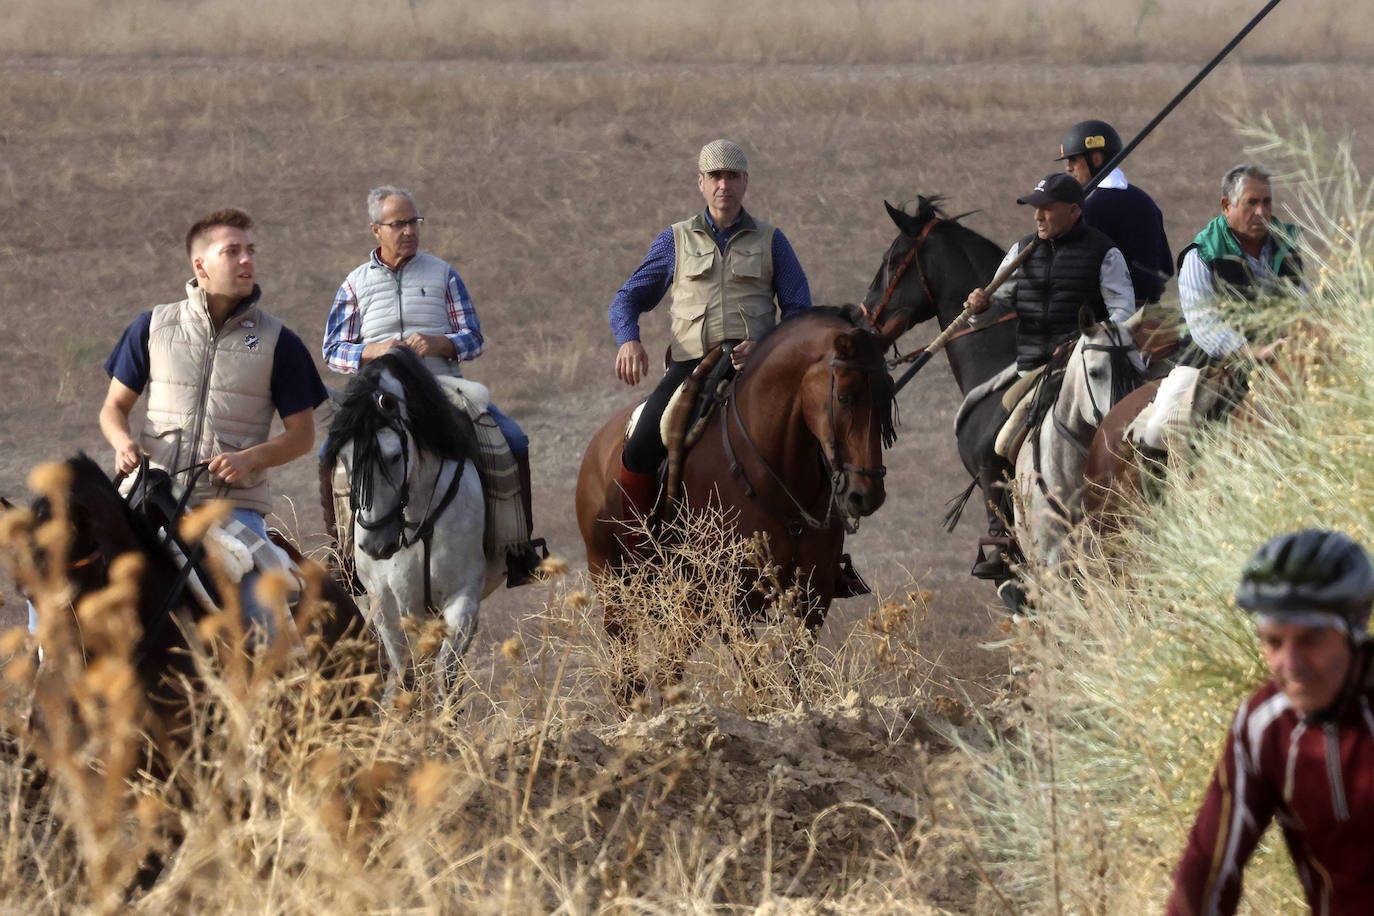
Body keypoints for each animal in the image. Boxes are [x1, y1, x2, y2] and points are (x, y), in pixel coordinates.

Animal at [324, 347, 502, 697]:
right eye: (345, 458)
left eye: (394, 456)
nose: (375, 545)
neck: (414, 521)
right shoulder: (384, 604)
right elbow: (405, 675)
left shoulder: (463, 597)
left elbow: (445, 675)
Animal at [574, 307, 895, 703]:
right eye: (846, 397)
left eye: (888, 396)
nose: (866, 494)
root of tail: (595, 451)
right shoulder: (731, 602)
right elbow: (761, 689)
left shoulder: (813, 596)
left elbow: (796, 681)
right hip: (615, 591)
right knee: (628, 682)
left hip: (689, 608)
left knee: (667, 669)